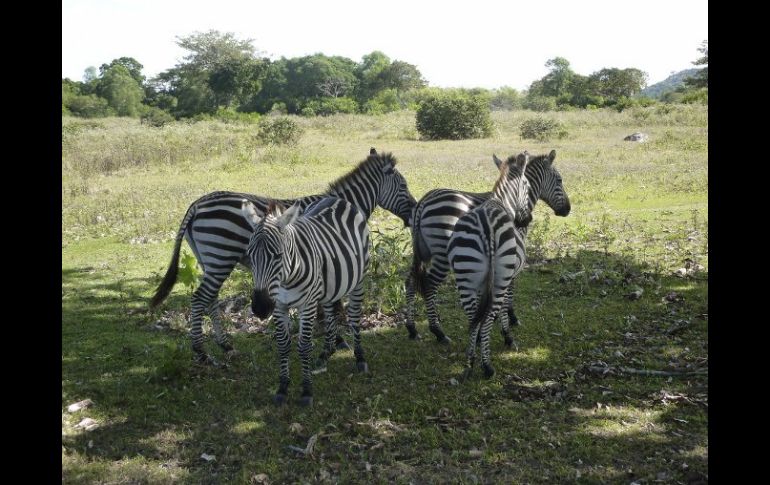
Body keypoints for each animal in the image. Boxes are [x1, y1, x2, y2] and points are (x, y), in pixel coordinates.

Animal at [150, 149, 414, 364]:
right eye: (403, 186)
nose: (413, 213)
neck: (344, 207)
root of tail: (197, 203)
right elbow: (333, 304)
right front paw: (336, 340)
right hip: (220, 257)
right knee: (199, 299)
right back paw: (202, 353)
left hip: (210, 261)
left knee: (210, 299)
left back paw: (225, 345)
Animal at [242, 197, 370, 404]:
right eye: (250, 256)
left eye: (278, 255)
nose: (260, 308)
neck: (287, 279)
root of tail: (337, 199)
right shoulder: (279, 305)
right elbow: (283, 344)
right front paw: (283, 387)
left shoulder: (307, 306)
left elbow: (303, 346)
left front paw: (307, 390)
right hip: (328, 287)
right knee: (330, 314)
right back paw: (326, 353)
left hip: (358, 280)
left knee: (355, 318)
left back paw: (360, 358)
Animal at [404, 149, 568, 346]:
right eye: (559, 180)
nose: (567, 210)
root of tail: (423, 202)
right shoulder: (512, 251)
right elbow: (510, 287)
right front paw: (511, 317)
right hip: (441, 254)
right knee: (430, 285)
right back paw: (438, 331)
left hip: (422, 252)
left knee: (411, 281)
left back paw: (412, 328)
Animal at [448, 151, 532, 378]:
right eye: (528, 186)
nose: (526, 220)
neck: (501, 201)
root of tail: (487, 226)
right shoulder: (511, 277)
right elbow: (504, 308)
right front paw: (507, 336)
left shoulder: (481, 284)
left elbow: (480, 311)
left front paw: (478, 343)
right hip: (500, 278)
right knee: (486, 320)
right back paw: (486, 366)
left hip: (465, 278)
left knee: (473, 319)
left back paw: (470, 363)